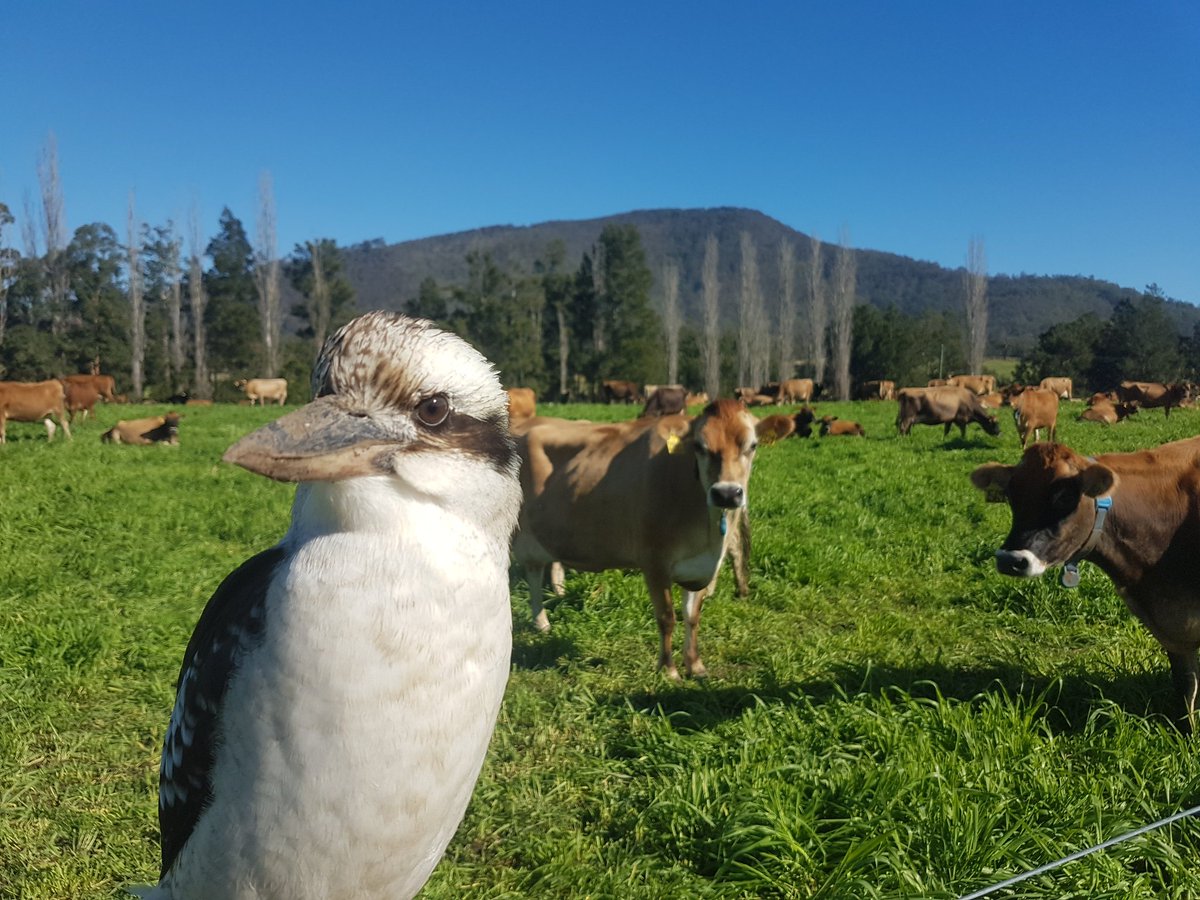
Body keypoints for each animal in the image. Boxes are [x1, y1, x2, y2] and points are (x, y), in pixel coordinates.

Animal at [512, 399, 758, 679]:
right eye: (699, 446)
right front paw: (669, 671)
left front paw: (695, 665)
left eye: (752, 445)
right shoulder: (655, 562)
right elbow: (667, 617)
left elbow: (692, 616)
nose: (727, 494)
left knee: (534, 570)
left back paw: (541, 622)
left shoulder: (702, 565)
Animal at [971, 437, 1200, 732]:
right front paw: (1187, 732)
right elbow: (1186, 686)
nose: (1010, 560)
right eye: (1012, 495)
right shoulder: (1171, 624)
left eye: (1065, 496)